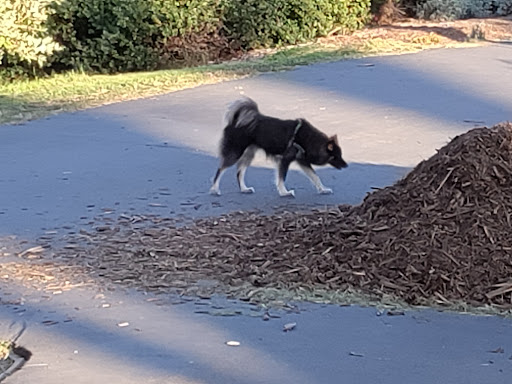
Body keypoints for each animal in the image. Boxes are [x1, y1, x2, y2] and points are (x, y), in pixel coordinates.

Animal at [209, 97, 348, 196]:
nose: (346, 165)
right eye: (335, 157)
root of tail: (234, 121)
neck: (308, 140)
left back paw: (244, 189)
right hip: (236, 152)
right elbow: (282, 178)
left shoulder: (302, 161)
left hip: (249, 154)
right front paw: (284, 192)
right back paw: (215, 189)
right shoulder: (285, 160)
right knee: (220, 169)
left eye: (341, 155)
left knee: (239, 172)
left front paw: (323, 189)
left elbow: (315, 176)